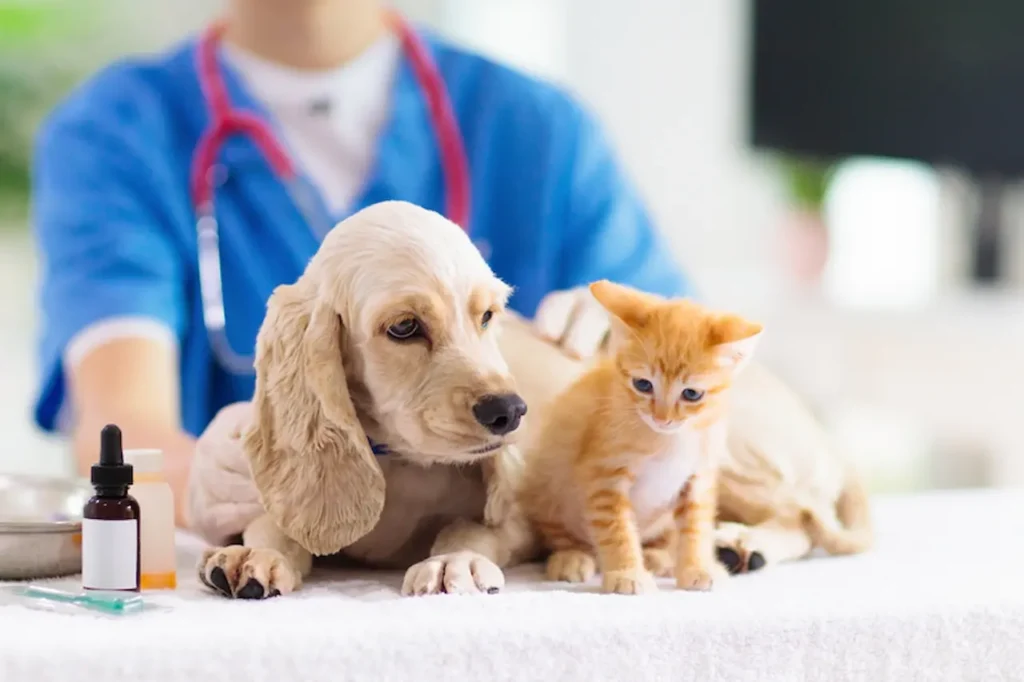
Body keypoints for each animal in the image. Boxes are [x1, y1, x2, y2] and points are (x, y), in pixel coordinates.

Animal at [520, 278, 761, 593]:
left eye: (691, 394)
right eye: (643, 385)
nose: (662, 418)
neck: (672, 440)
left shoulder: (698, 478)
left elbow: (695, 527)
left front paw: (697, 567)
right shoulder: (604, 477)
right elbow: (616, 529)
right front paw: (627, 574)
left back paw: (659, 557)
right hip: (549, 485)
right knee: (560, 532)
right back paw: (572, 557)